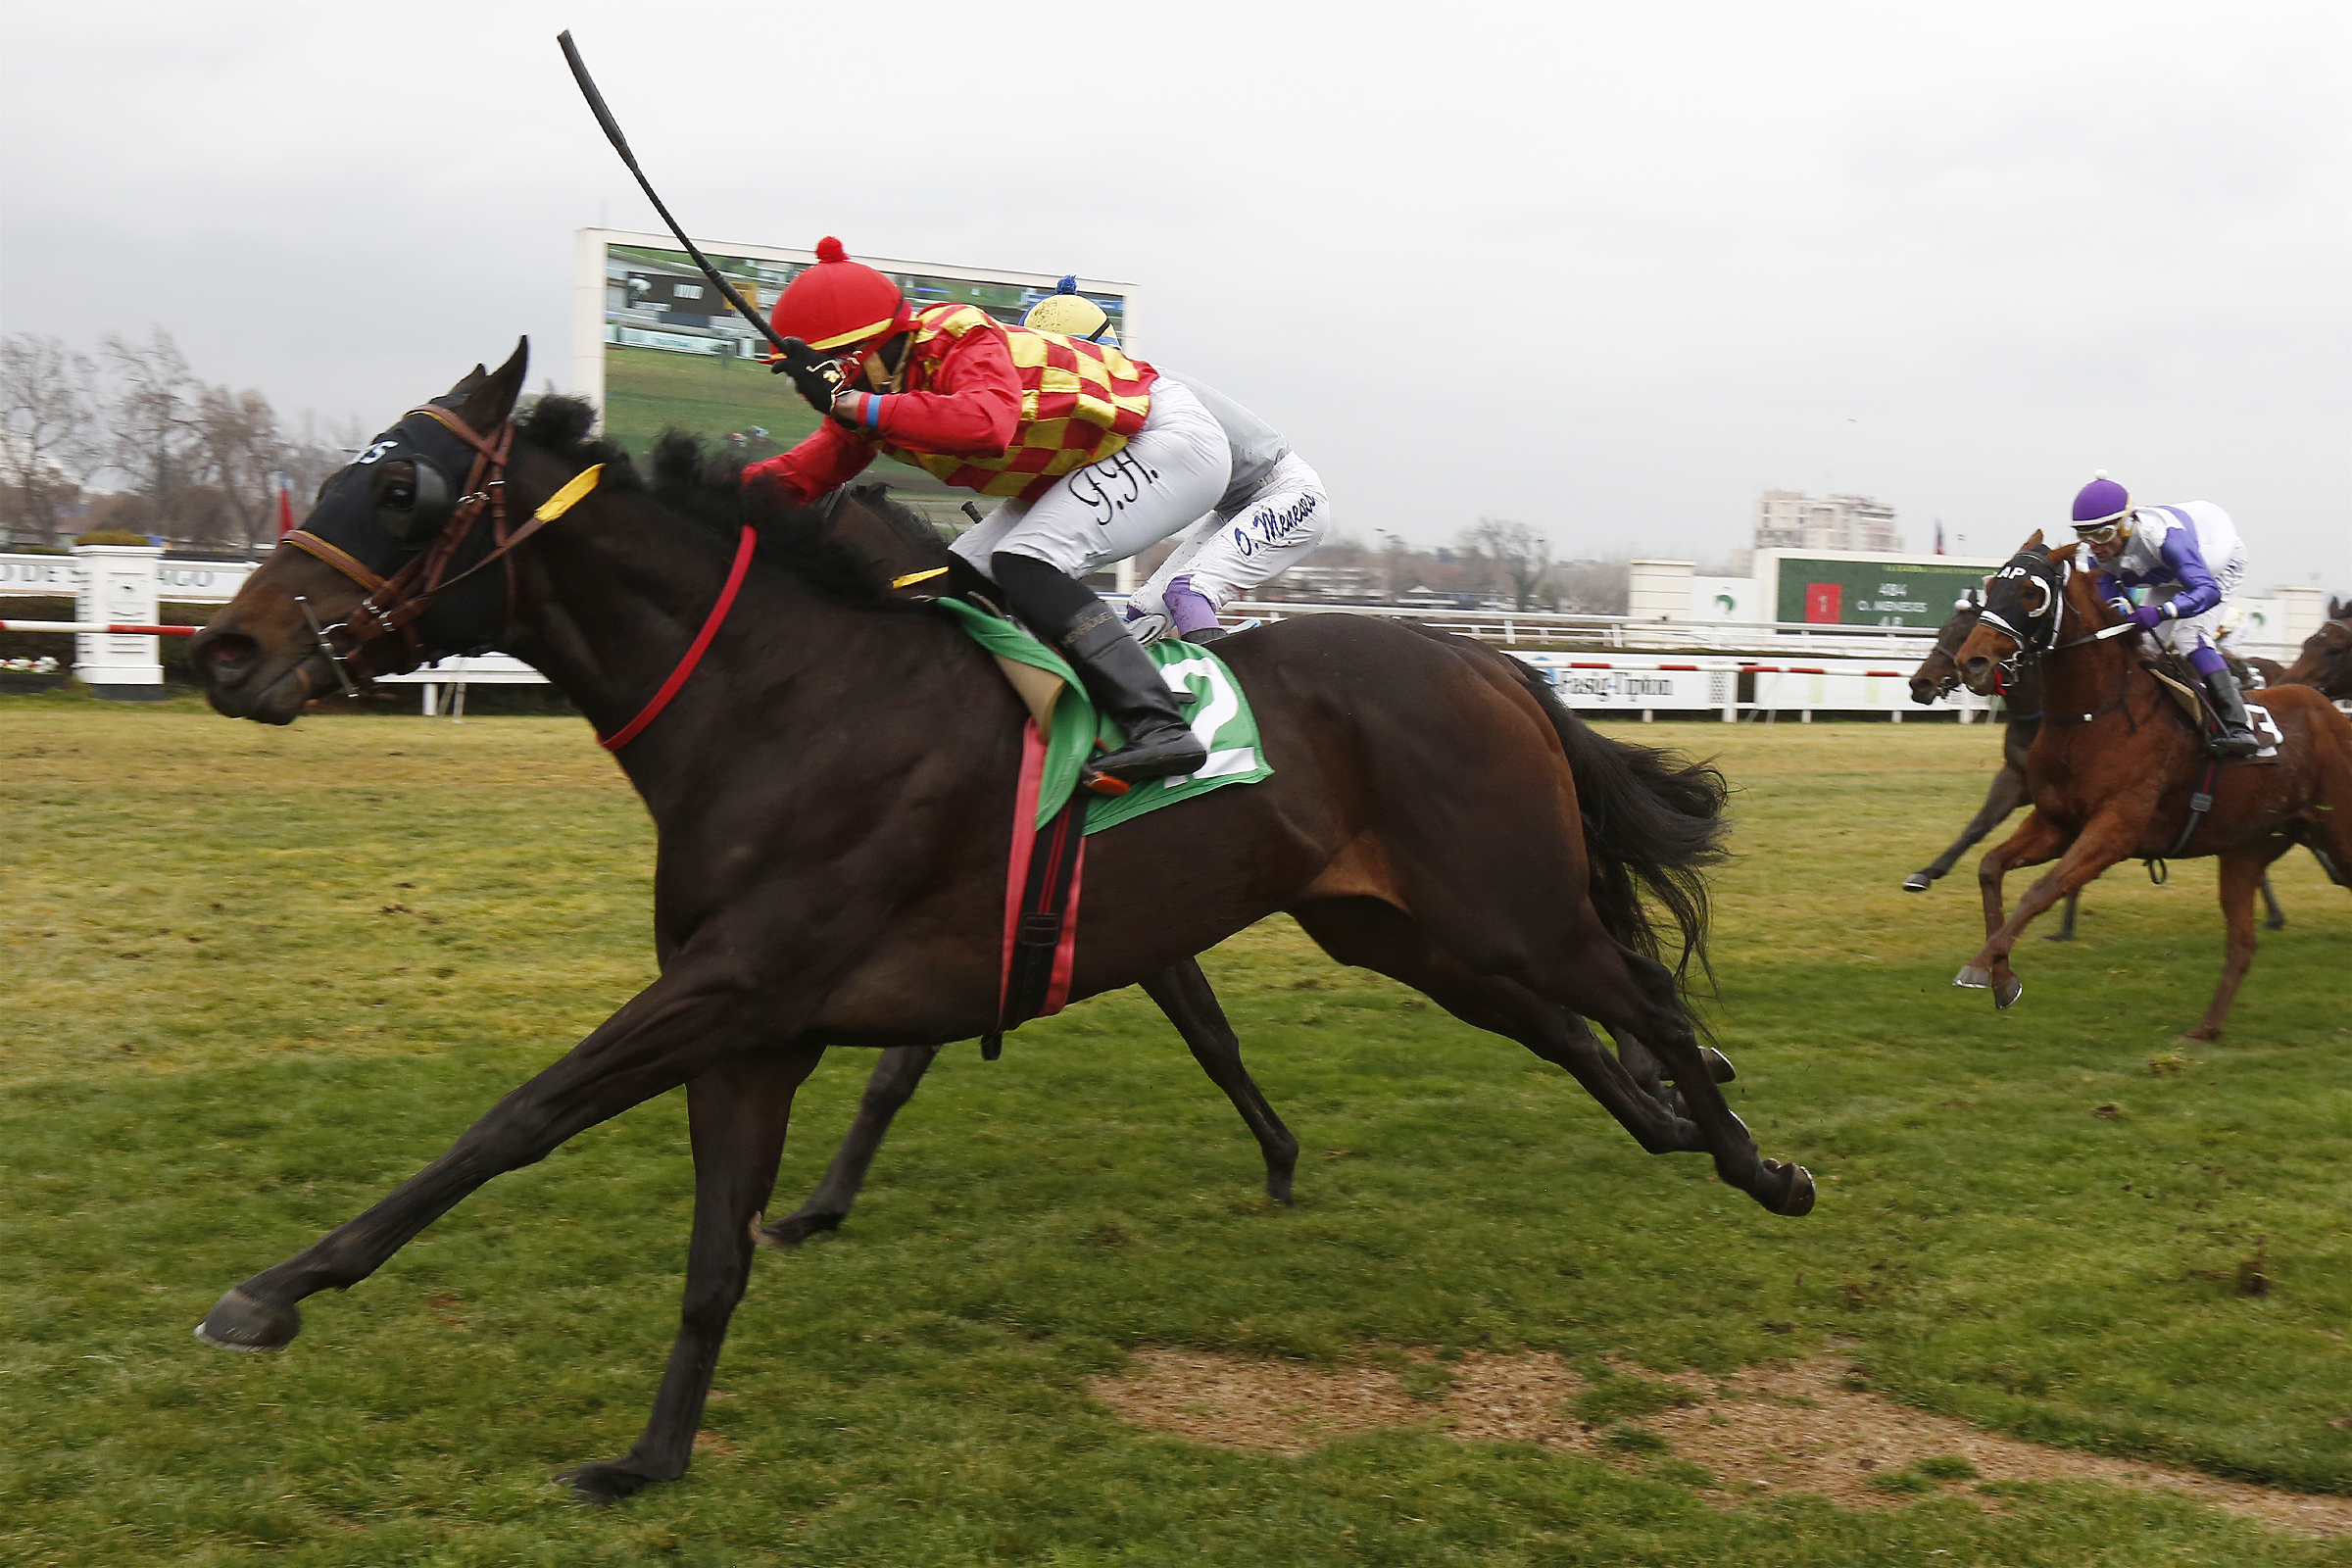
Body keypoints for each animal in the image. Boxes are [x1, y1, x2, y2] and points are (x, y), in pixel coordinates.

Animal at [183, 344, 1813, 1503]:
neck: (779, 700)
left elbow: (516, 1117)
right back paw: (1678, 1131)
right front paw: (652, 1457)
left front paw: (270, 1293)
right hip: (1409, 932)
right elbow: (715, 1251)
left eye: (396, 491)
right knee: (1574, 1027)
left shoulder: (735, 984)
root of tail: (1496, 668)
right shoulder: (756, 1026)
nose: (225, 648)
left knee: (1646, 995)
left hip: (1507, 906)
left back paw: (1757, 1162)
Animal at [1902, 601, 2285, 936]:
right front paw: (1926, 873)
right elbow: (1978, 825)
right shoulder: (2018, 777)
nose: (1920, 684)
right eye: (1943, 631)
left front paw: (2065, 921)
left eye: (1964, 636)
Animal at [1950, 531, 2352, 1037]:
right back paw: (2206, 1030)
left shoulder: (2116, 830)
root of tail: (2331, 713)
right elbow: (1990, 867)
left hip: (2337, 833)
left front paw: (1979, 965)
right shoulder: (2056, 823)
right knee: (2243, 943)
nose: (1972, 662)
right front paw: (2003, 981)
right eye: (1990, 586)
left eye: (2031, 593)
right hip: (2248, 848)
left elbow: (2042, 889)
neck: (2095, 716)